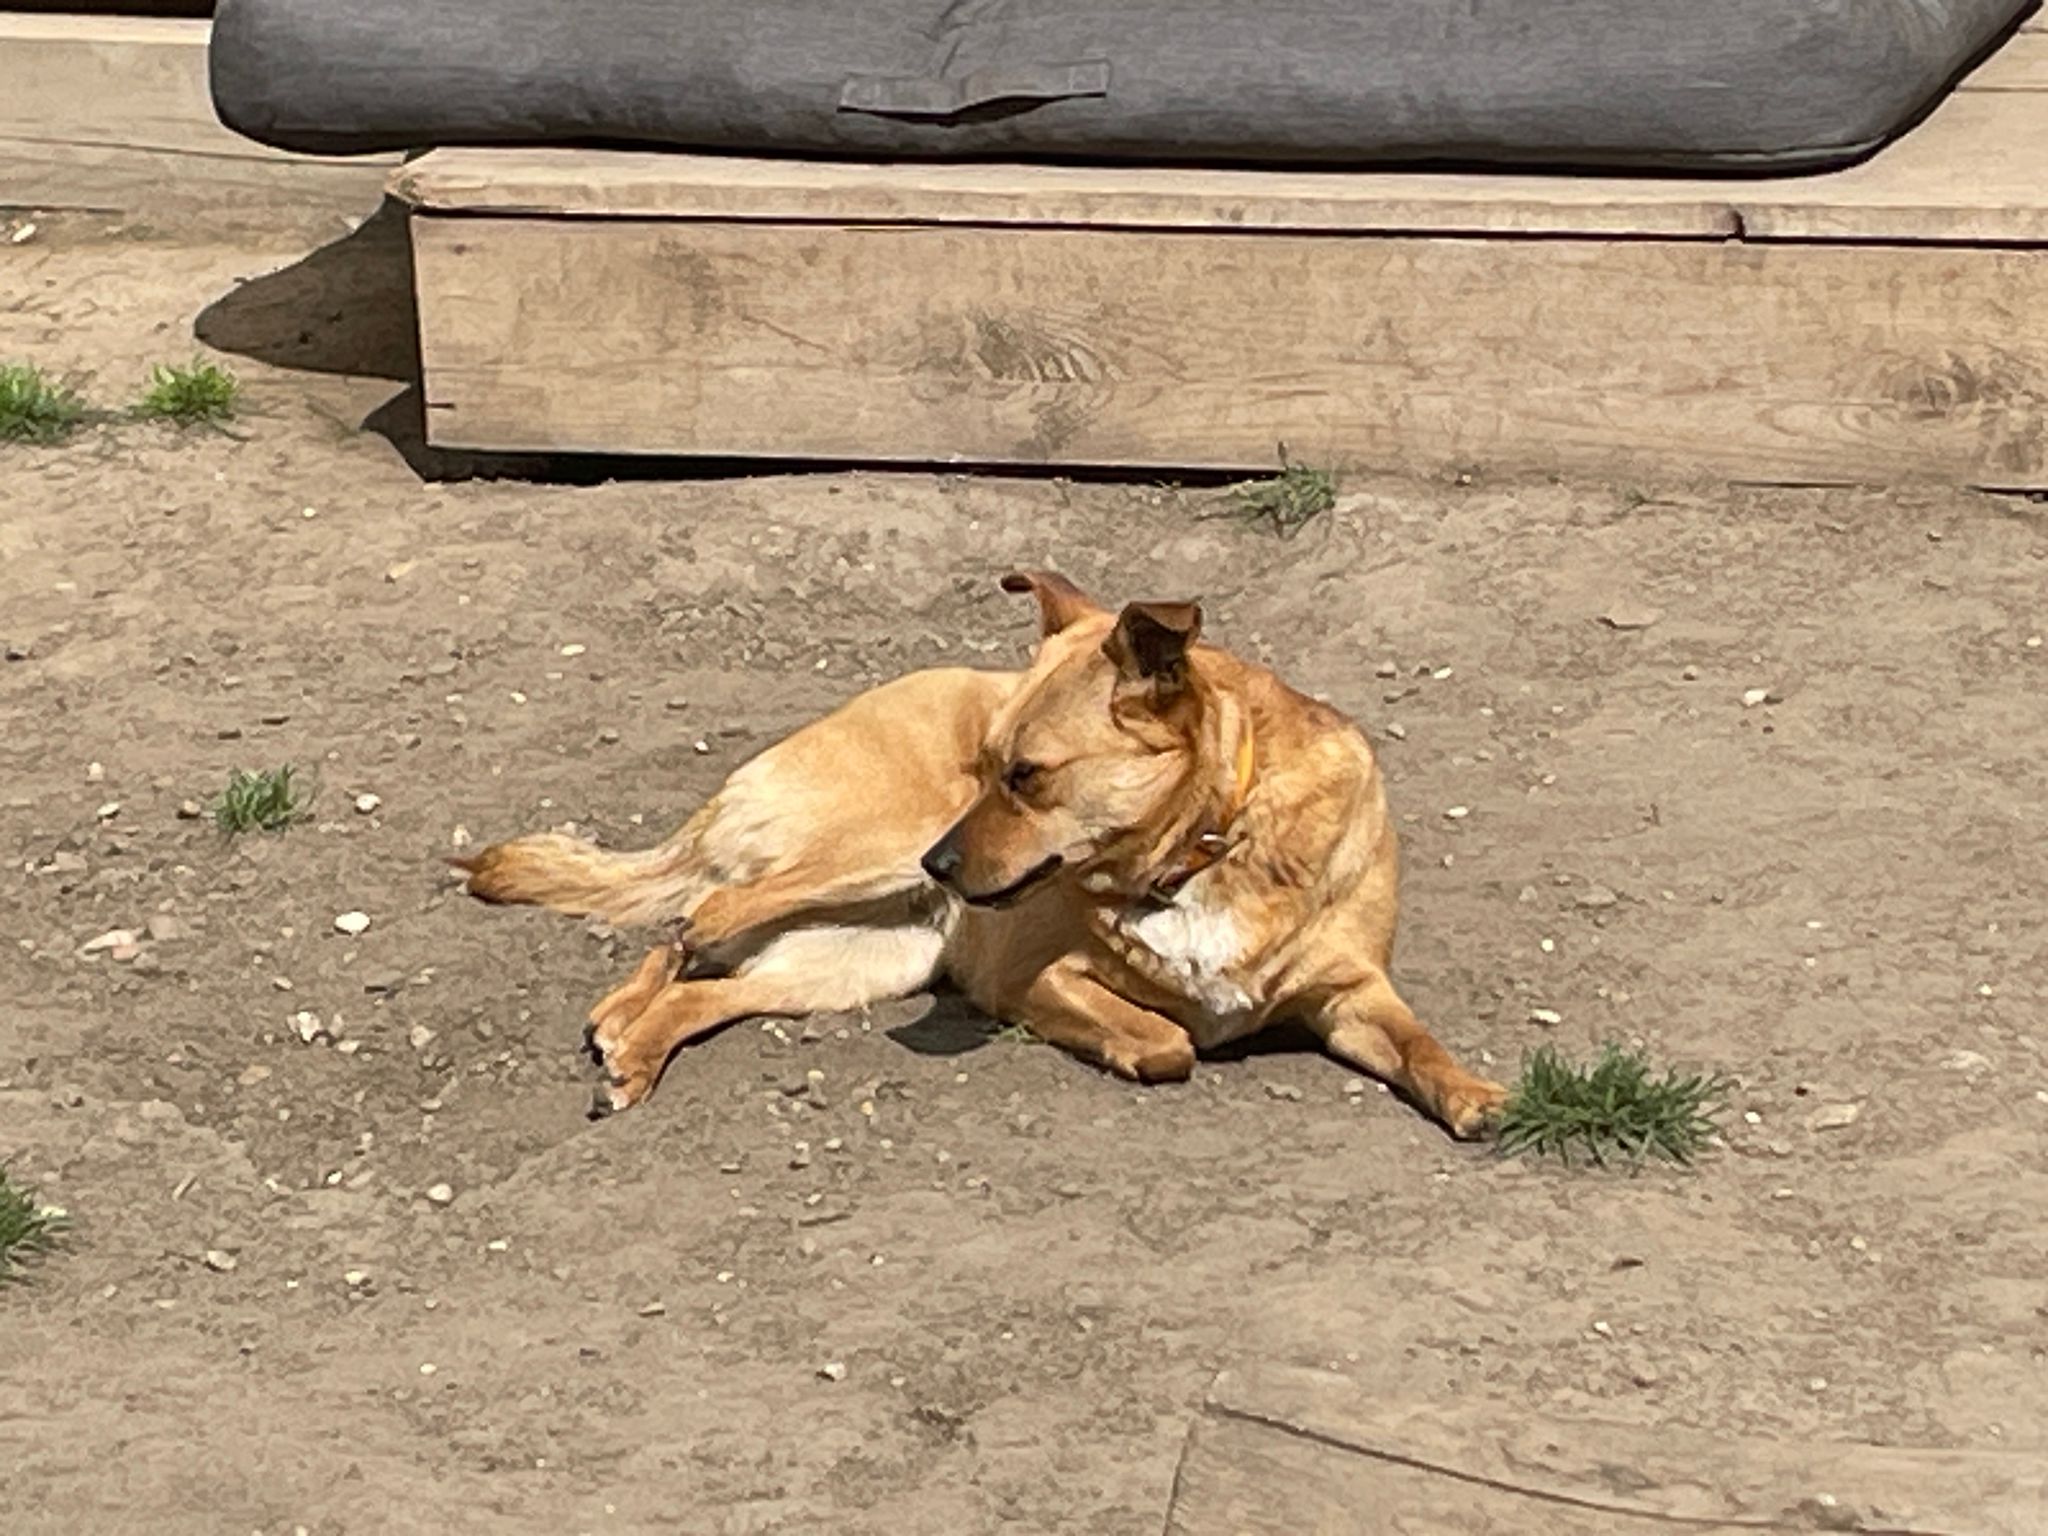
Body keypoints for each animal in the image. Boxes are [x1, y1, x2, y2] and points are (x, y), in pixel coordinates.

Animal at [457, 572, 1506, 1138]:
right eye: (987, 760)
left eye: (1028, 775)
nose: (942, 868)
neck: (1207, 849)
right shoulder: (1028, 975)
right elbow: (1165, 1040)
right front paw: (1133, 1046)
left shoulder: (1351, 993)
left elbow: (1419, 1042)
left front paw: (1476, 1094)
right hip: (866, 851)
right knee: (693, 918)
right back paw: (620, 1023)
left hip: (861, 955)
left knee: (709, 980)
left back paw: (631, 1045)